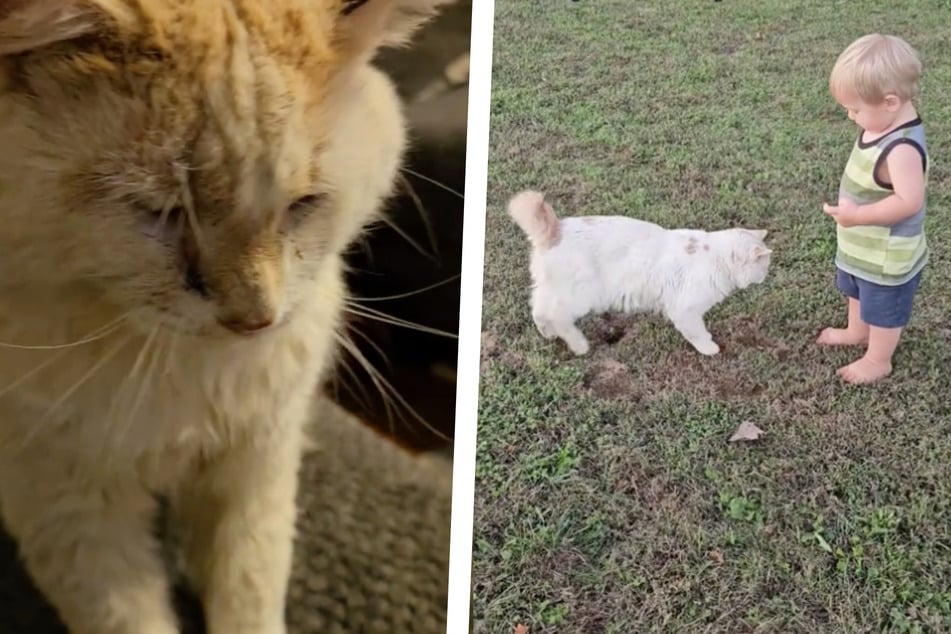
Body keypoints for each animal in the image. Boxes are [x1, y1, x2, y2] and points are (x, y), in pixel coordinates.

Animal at [0, 1, 450, 632]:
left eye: (303, 206)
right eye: (162, 212)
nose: (254, 320)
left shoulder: (257, 463)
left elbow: (249, 588)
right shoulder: (69, 506)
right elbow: (130, 614)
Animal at [510, 188, 768, 356]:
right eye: (764, 266)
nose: (765, 276)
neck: (715, 256)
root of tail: (556, 228)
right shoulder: (684, 310)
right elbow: (697, 334)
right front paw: (710, 349)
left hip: (553, 289)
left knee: (538, 309)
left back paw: (548, 334)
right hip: (582, 294)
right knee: (557, 316)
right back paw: (579, 345)